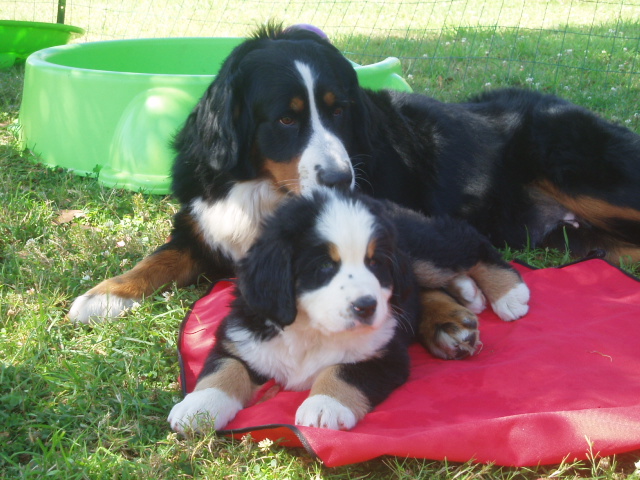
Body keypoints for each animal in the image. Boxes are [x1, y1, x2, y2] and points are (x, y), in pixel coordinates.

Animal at [69, 23, 640, 356]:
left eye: (339, 109)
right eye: (285, 119)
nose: (341, 179)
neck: (264, 189)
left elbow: (396, 277)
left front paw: (443, 317)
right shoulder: (202, 228)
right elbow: (158, 259)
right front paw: (104, 294)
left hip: (583, 174)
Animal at [168, 188, 529, 432]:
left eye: (375, 263)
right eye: (324, 267)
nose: (366, 307)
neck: (312, 331)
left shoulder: (384, 354)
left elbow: (343, 371)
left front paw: (323, 406)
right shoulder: (241, 336)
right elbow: (224, 368)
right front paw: (198, 406)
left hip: (423, 250)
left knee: (469, 243)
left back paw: (509, 294)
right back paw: (463, 301)